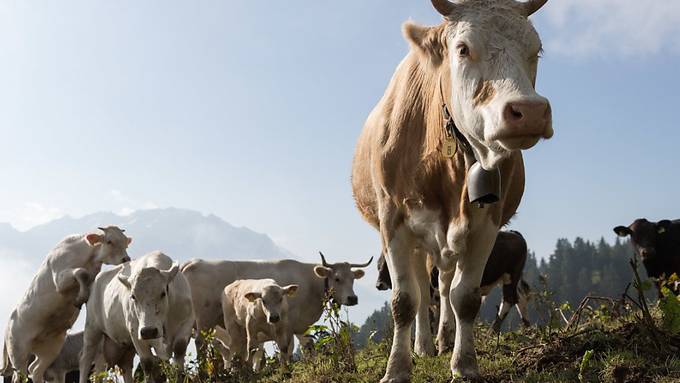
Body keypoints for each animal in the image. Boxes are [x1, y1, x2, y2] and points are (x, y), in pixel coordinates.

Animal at [0, 228, 131, 383]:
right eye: (109, 241)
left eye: (125, 242)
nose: (126, 259)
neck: (87, 257)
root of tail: (8, 325)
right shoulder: (60, 280)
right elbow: (81, 272)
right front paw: (80, 297)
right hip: (18, 352)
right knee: (19, 375)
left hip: (51, 349)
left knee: (35, 369)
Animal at [78, 252, 194, 383]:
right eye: (133, 296)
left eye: (163, 293)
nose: (149, 331)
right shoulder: (135, 332)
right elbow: (147, 363)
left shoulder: (187, 321)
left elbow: (179, 347)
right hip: (92, 329)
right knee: (85, 359)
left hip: (122, 346)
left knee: (119, 366)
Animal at [378, 231, 532, 332]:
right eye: (378, 265)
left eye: (387, 264)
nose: (379, 284)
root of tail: (514, 233)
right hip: (509, 278)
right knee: (520, 299)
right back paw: (528, 329)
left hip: (511, 275)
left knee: (509, 299)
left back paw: (492, 331)